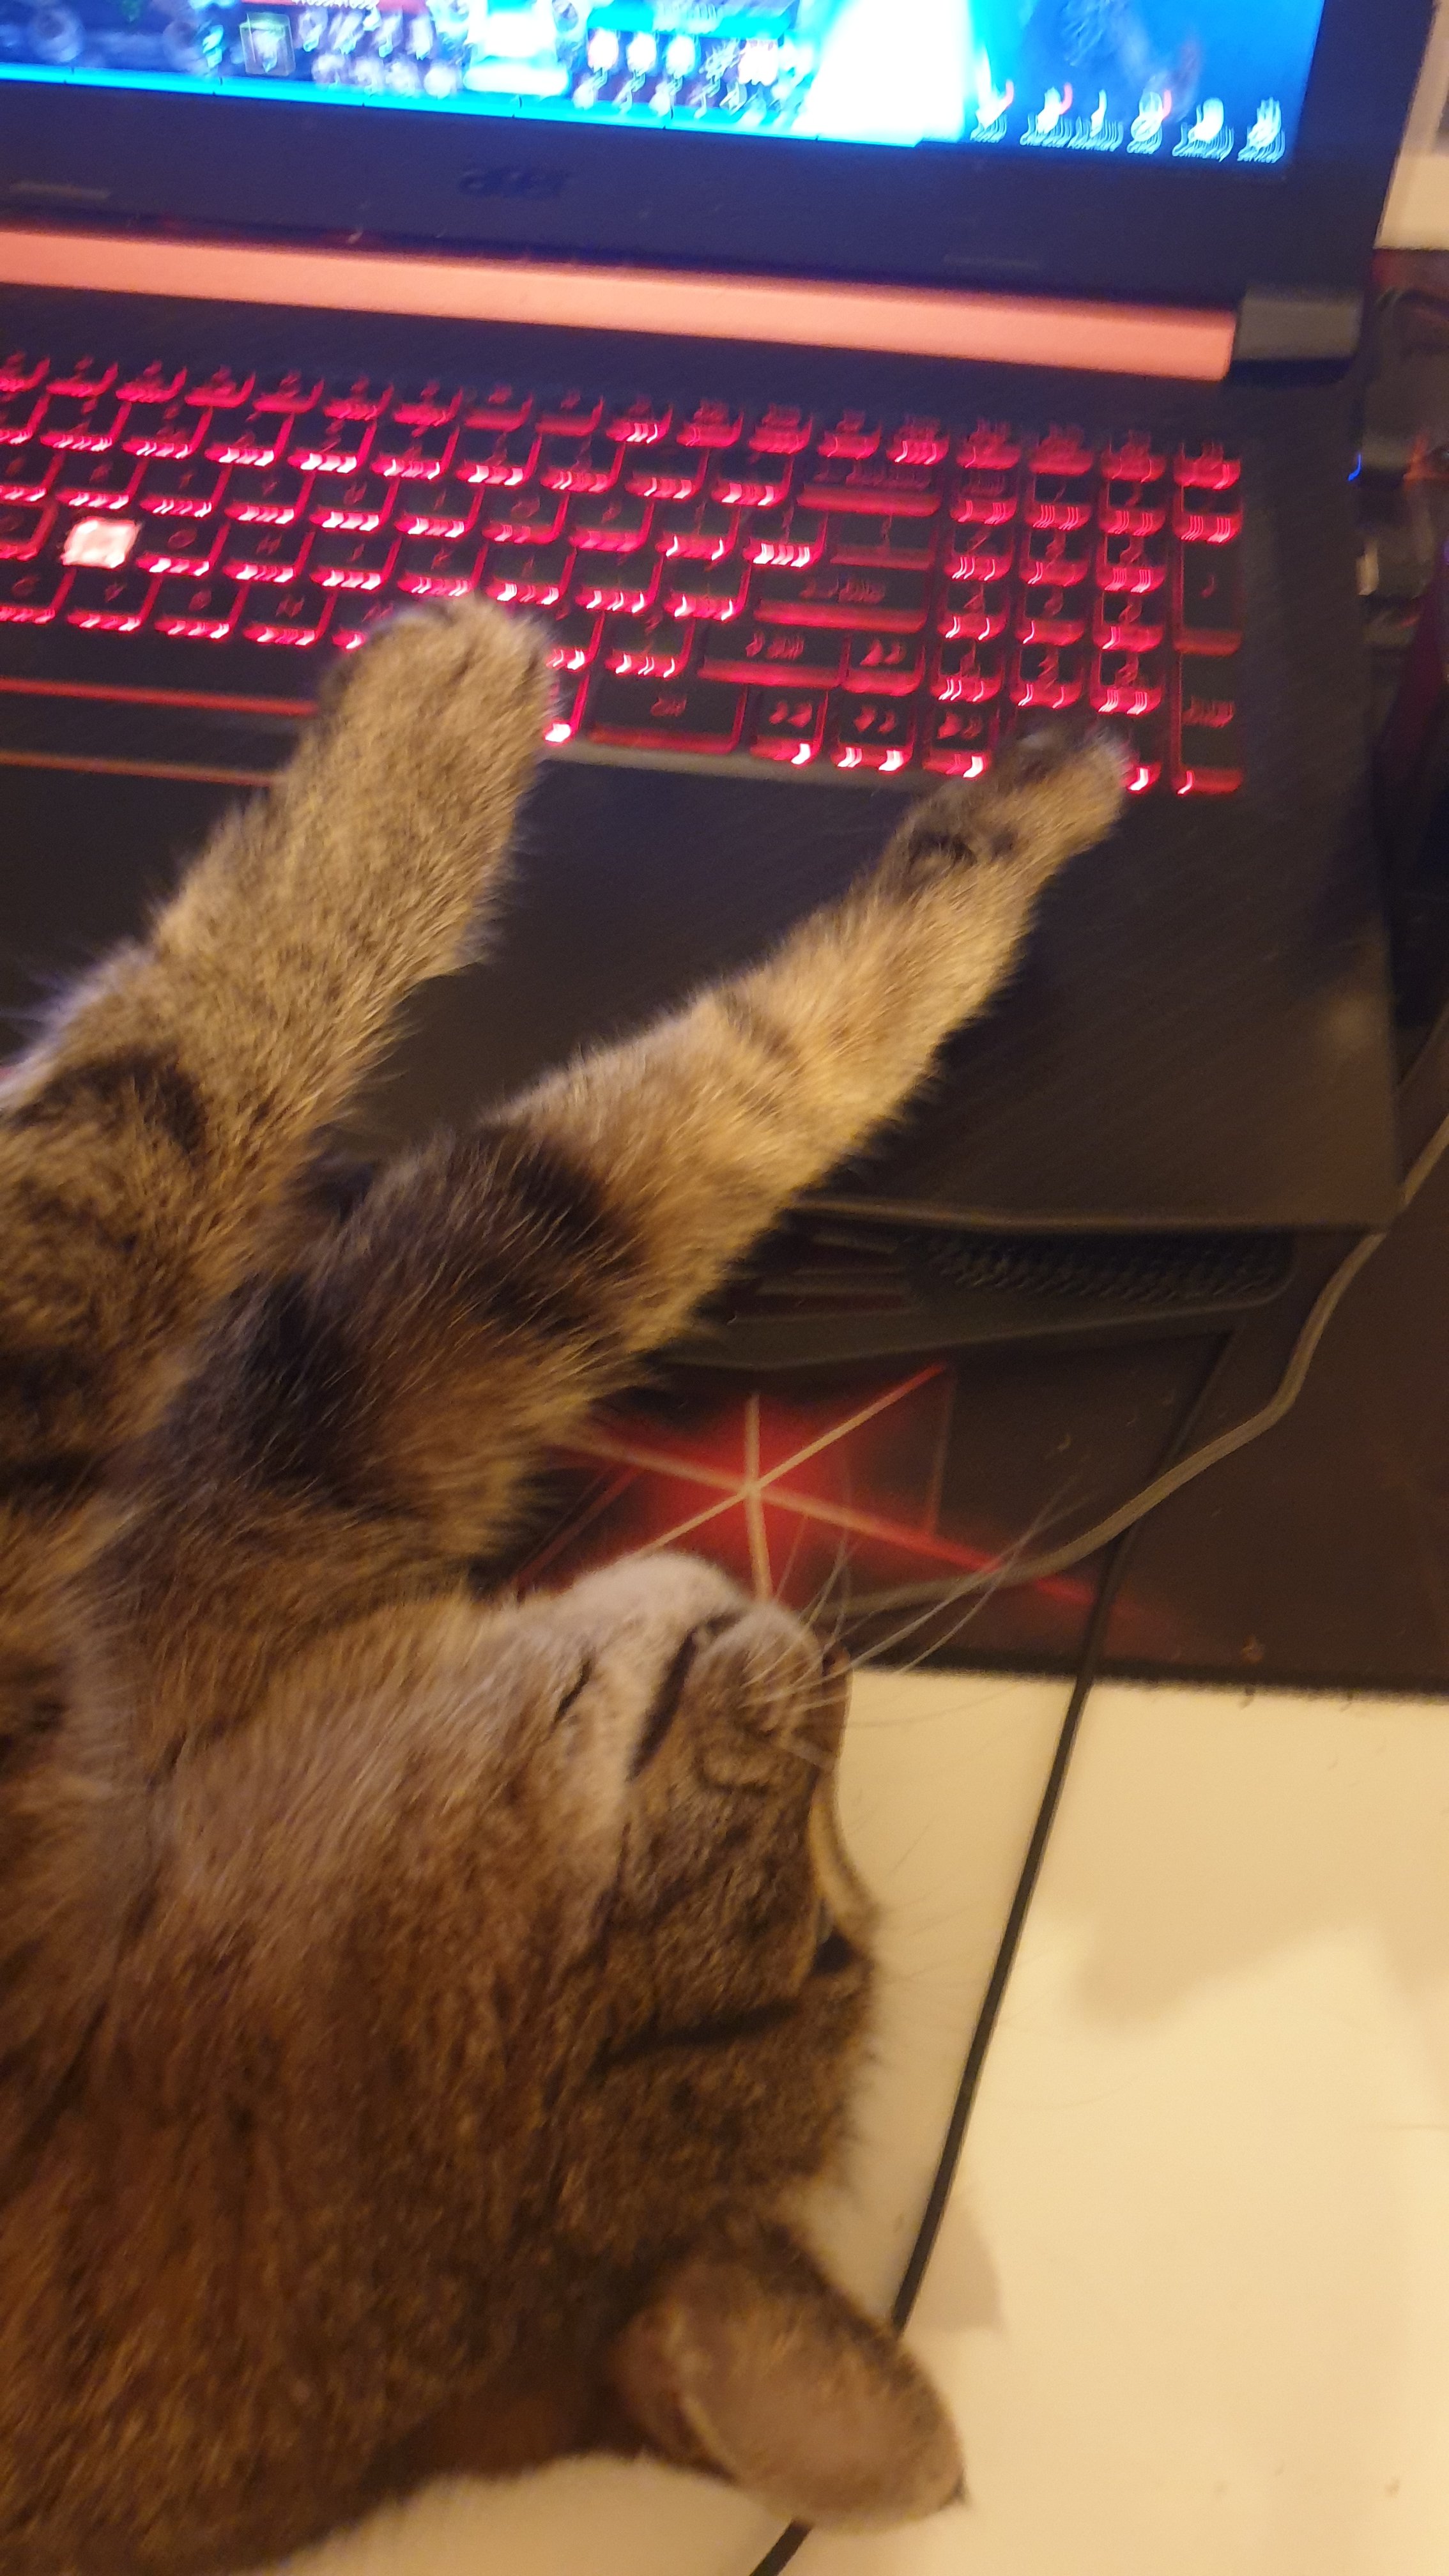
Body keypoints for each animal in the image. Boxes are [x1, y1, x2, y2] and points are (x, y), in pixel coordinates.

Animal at [0, 599, 1124, 2576]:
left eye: (829, 1939)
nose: (838, 1669)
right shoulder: (340, 1450)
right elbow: (722, 1105)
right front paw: (1023, 820)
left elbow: (159, 1112)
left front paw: (433, 724)